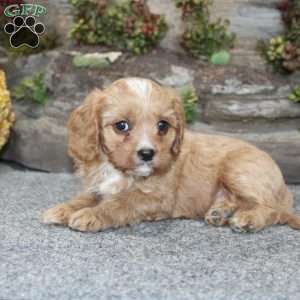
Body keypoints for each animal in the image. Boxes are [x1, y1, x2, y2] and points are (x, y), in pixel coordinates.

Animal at [42, 77, 300, 232]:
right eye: (122, 126)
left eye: (163, 126)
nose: (147, 153)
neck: (120, 171)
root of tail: (284, 190)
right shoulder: (98, 186)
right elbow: (84, 197)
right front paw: (62, 209)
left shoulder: (155, 197)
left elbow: (119, 203)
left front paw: (91, 215)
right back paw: (220, 212)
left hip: (237, 169)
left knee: (270, 208)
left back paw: (247, 218)